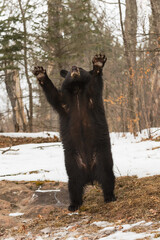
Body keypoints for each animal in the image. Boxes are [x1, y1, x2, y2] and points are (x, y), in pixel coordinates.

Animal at [32, 54, 115, 212]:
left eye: (80, 68)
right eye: (70, 69)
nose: (75, 67)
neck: (77, 89)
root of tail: (89, 174)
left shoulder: (90, 98)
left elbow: (95, 86)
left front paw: (98, 62)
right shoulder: (65, 103)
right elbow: (54, 96)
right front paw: (40, 73)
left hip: (102, 157)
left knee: (107, 178)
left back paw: (110, 197)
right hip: (72, 165)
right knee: (74, 186)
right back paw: (73, 204)